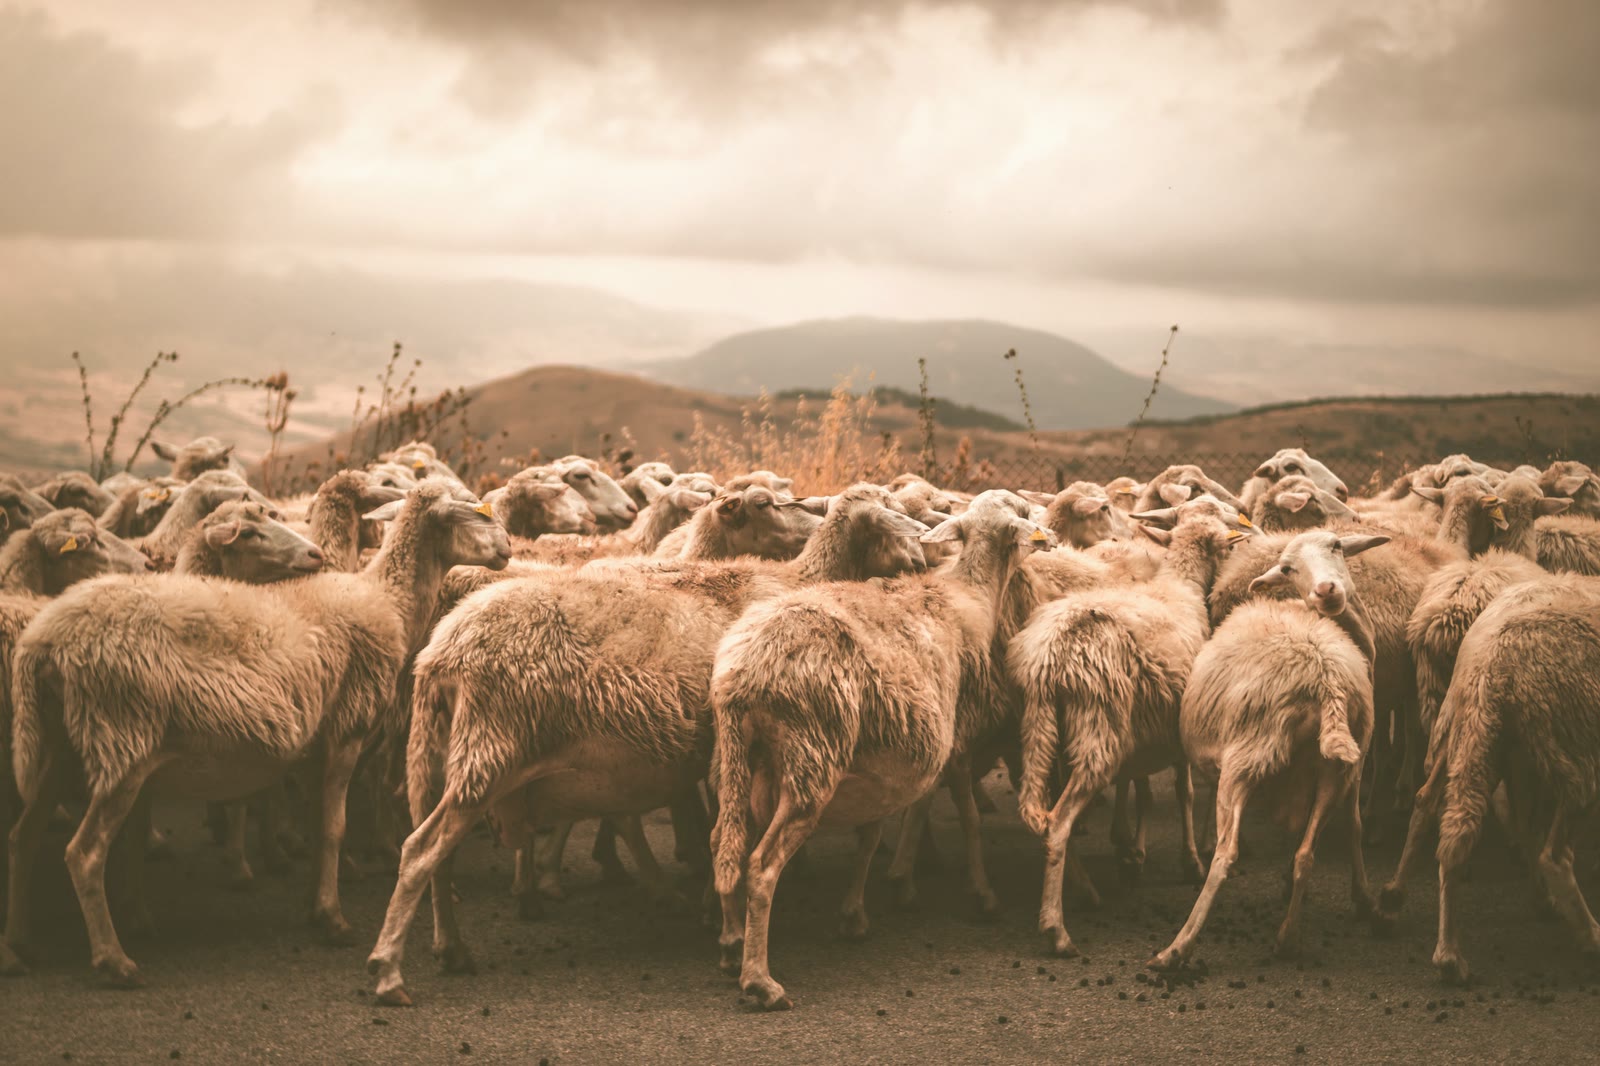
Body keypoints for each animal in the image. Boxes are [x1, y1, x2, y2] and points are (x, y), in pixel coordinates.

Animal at [3, 482, 510, 985]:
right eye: (470, 508)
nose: (507, 547)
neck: (386, 597)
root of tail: (43, 642)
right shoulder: (345, 732)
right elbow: (334, 828)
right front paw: (333, 919)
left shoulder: (314, 748)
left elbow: (313, 823)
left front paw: (313, 906)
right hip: (121, 738)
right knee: (83, 853)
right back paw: (113, 960)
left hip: (59, 747)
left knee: (23, 838)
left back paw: (19, 947)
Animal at [363, 483, 931, 1006]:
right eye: (766, 503)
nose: (923, 553)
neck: (796, 579)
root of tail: (443, 652)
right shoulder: (728, 754)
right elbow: (726, 835)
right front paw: (729, 932)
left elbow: (717, 833)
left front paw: (718, 917)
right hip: (490, 750)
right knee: (421, 851)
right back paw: (389, 971)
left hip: (442, 754)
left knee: (437, 853)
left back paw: (452, 948)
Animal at [709, 492, 1052, 1010]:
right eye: (1023, 512)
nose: (1049, 533)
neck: (968, 596)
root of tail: (744, 673)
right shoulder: (957, 740)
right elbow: (969, 818)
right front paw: (982, 894)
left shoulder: (879, 765)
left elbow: (871, 836)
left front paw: (856, 914)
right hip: (812, 758)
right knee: (761, 867)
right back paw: (760, 981)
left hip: (736, 760)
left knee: (722, 844)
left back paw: (730, 946)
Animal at [1009, 510, 1247, 957]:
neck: (1180, 585)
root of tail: (1054, 653)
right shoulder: (1177, 726)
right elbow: (1183, 792)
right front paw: (1190, 861)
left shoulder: (1144, 722)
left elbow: (1139, 785)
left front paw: (1131, 851)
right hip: (1098, 728)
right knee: (1058, 822)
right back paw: (1057, 930)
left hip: (1041, 725)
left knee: (1041, 815)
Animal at [1148, 530, 1390, 971]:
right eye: (1288, 568)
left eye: (1336, 546)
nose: (1326, 590)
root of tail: (1324, 677)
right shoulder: (1353, 767)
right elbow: (1352, 826)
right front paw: (1365, 901)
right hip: (1331, 772)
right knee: (1306, 854)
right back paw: (1287, 938)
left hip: (1246, 762)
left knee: (1226, 857)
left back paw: (1177, 948)